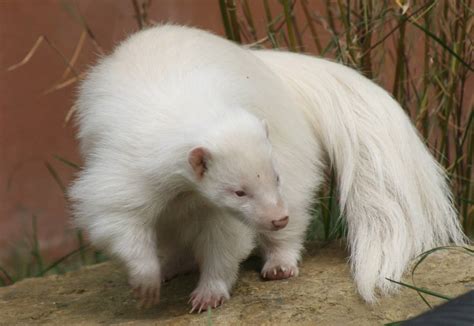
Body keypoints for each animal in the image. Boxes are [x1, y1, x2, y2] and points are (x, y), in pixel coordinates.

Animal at [68, 24, 464, 310]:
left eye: (273, 178)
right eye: (238, 190)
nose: (277, 217)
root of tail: (273, 69)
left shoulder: (233, 199)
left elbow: (224, 238)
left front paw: (208, 293)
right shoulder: (128, 169)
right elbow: (117, 220)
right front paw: (147, 281)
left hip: (290, 145)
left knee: (298, 204)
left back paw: (280, 263)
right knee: (170, 229)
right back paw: (172, 264)